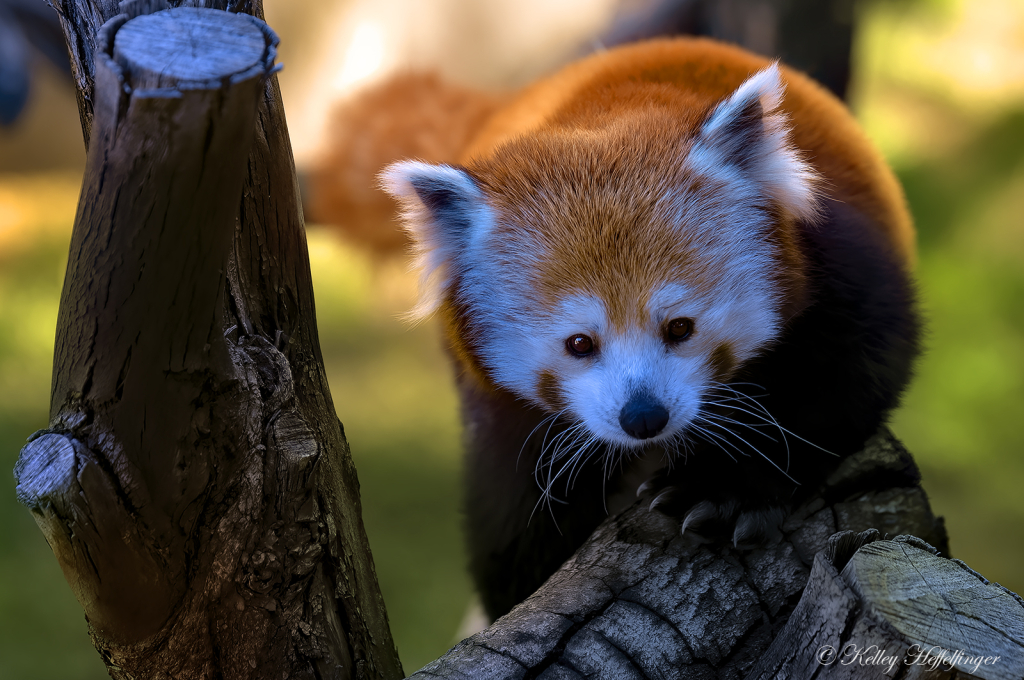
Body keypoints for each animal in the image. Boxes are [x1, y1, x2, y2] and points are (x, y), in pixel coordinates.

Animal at [382, 38, 921, 622]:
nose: (643, 418)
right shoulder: (498, 407)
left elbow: (845, 374)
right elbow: (514, 498)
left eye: (680, 328)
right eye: (579, 344)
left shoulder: (835, 262)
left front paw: (723, 486)